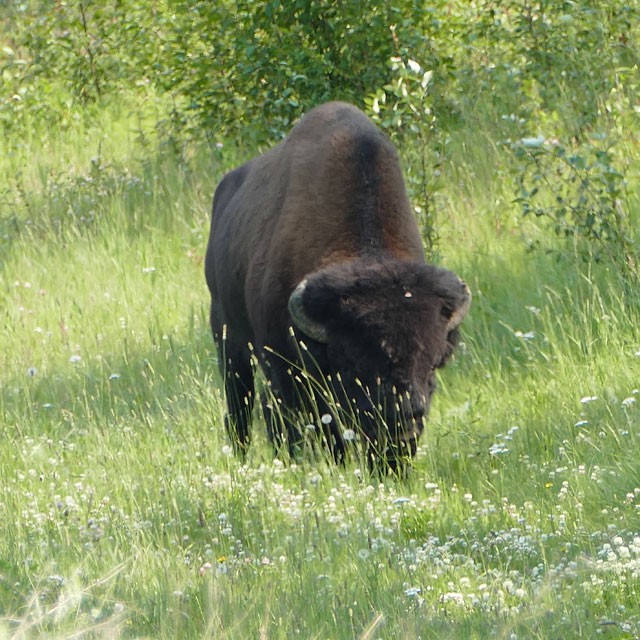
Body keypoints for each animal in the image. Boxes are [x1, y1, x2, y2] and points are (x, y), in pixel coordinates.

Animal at [205, 101, 470, 470]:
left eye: (432, 365)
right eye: (355, 366)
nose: (404, 419)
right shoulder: (281, 367)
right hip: (227, 336)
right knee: (240, 405)